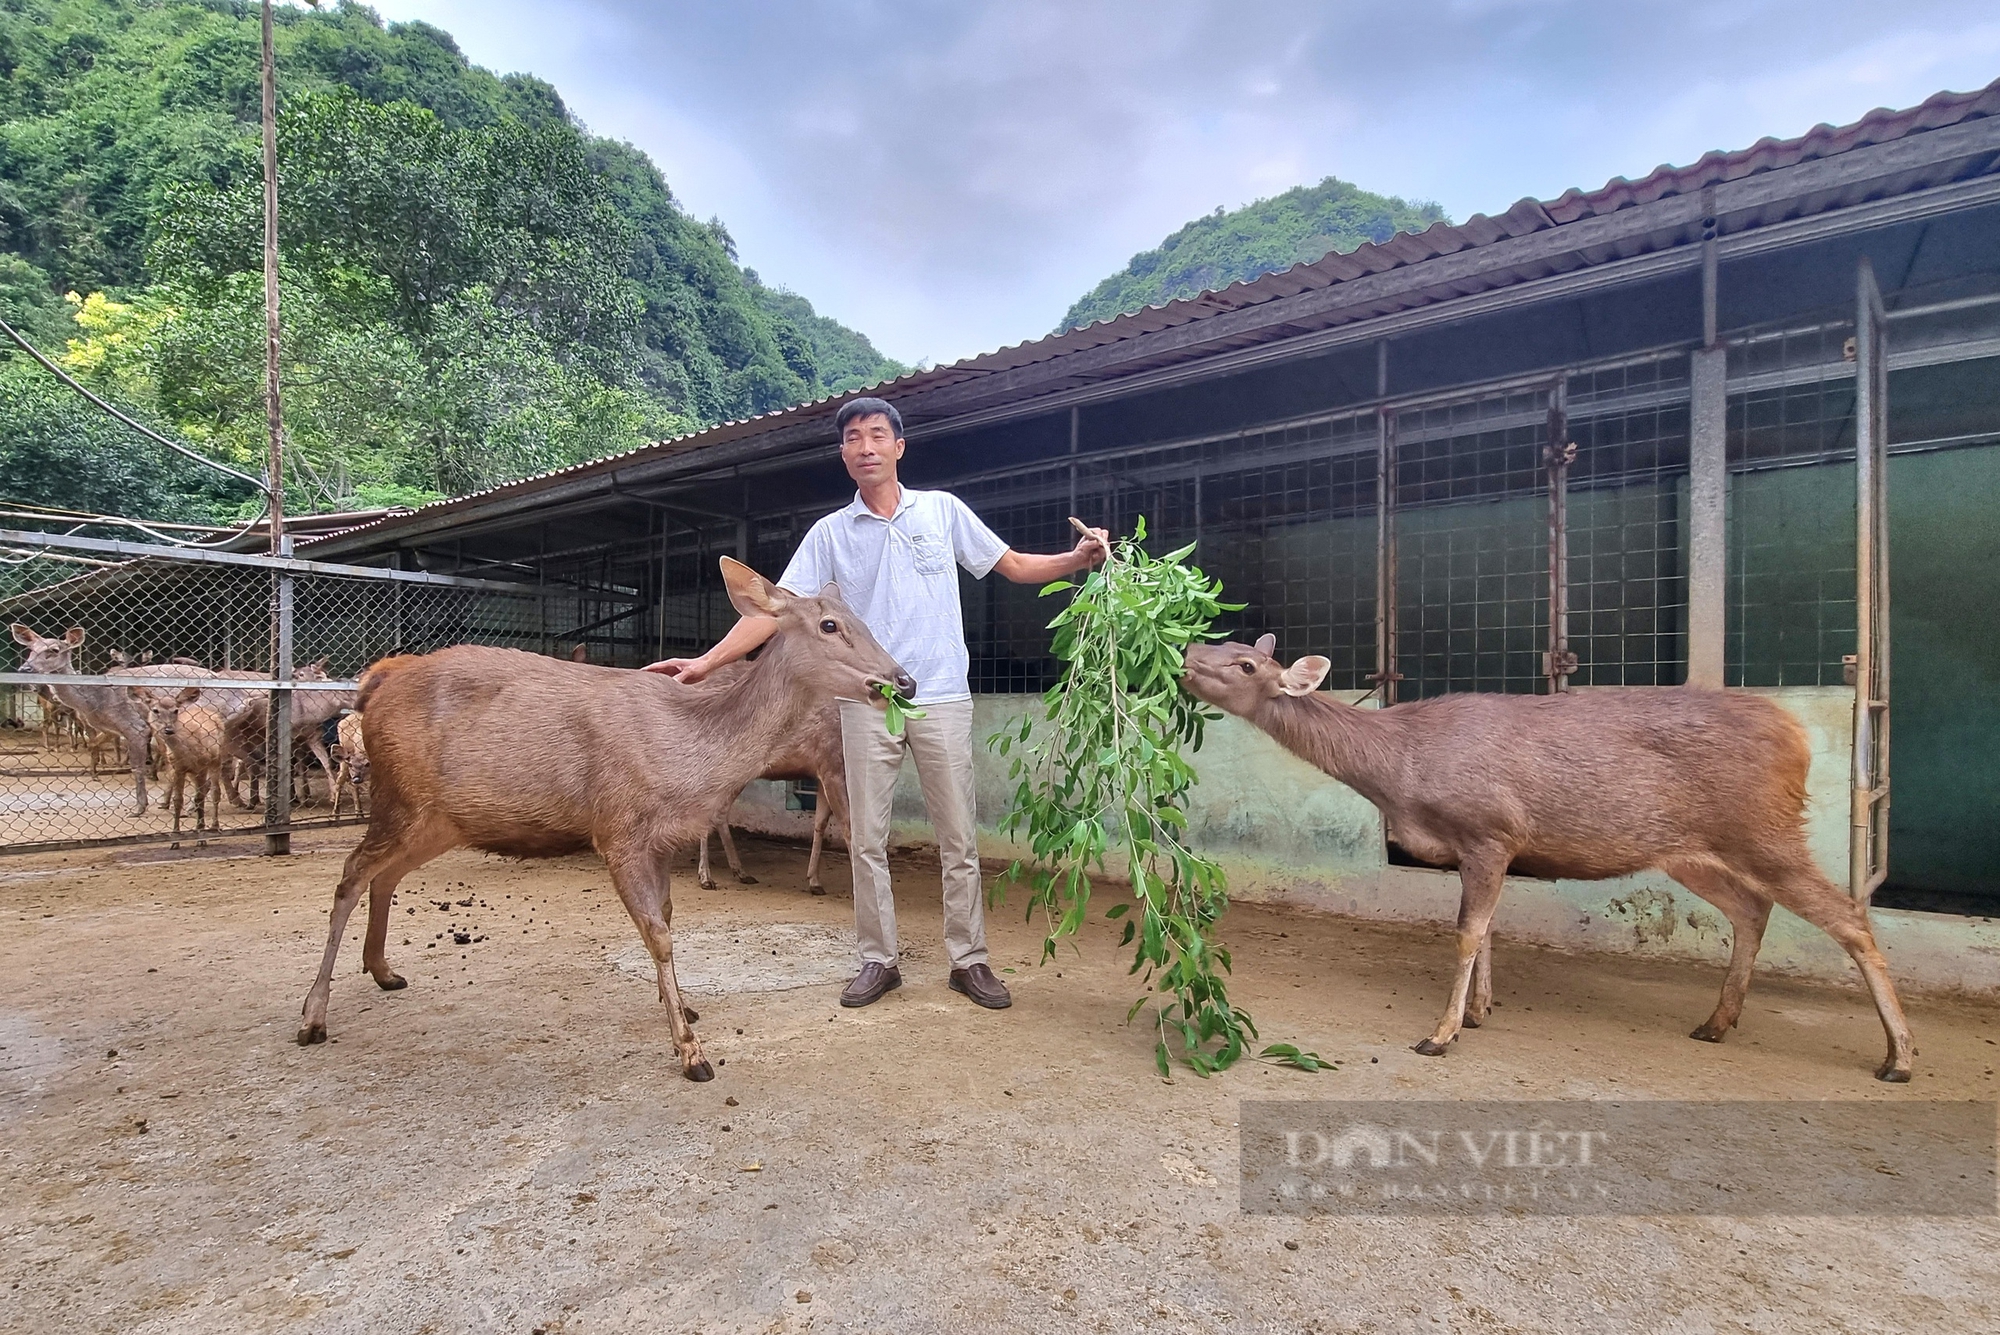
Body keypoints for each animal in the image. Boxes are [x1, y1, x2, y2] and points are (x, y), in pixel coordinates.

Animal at [292, 559, 912, 1079]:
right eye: (830, 625)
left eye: (864, 619)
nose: (903, 680)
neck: (690, 757)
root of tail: (372, 688)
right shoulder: (620, 828)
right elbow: (657, 935)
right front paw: (691, 1051)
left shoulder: (662, 841)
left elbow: (666, 919)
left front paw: (682, 1006)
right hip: (400, 795)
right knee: (350, 875)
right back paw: (313, 1016)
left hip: (439, 818)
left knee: (385, 876)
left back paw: (384, 970)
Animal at [1176, 635, 1912, 1087]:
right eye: (1226, 642)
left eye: (1247, 665)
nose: (1185, 653)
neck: (1400, 771)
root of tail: (1800, 739)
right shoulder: (1481, 848)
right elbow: (1487, 931)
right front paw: (1481, 1010)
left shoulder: (1490, 829)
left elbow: (1467, 932)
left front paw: (1441, 1032)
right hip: (1692, 851)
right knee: (1752, 908)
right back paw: (1716, 1021)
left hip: (1766, 829)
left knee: (1850, 915)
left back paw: (1898, 1056)